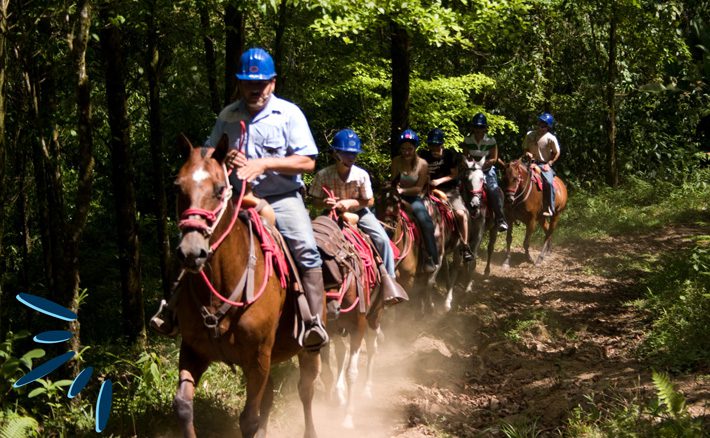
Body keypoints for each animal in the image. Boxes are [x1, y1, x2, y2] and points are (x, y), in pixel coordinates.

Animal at [172, 135, 320, 438]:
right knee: (271, 397)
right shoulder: (192, 350)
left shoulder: (257, 358)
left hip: (307, 349)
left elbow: (249, 419)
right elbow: (183, 405)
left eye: (219, 189)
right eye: (178, 187)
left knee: (306, 390)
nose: (191, 252)